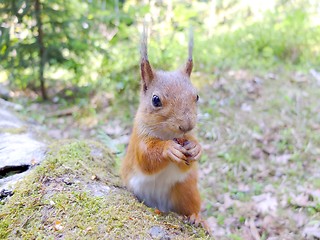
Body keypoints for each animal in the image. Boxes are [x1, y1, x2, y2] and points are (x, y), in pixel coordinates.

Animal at [121, 25, 201, 225]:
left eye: (196, 96)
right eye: (155, 100)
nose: (186, 125)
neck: (168, 135)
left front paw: (196, 148)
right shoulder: (139, 140)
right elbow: (146, 157)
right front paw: (168, 149)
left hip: (186, 189)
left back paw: (195, 217)